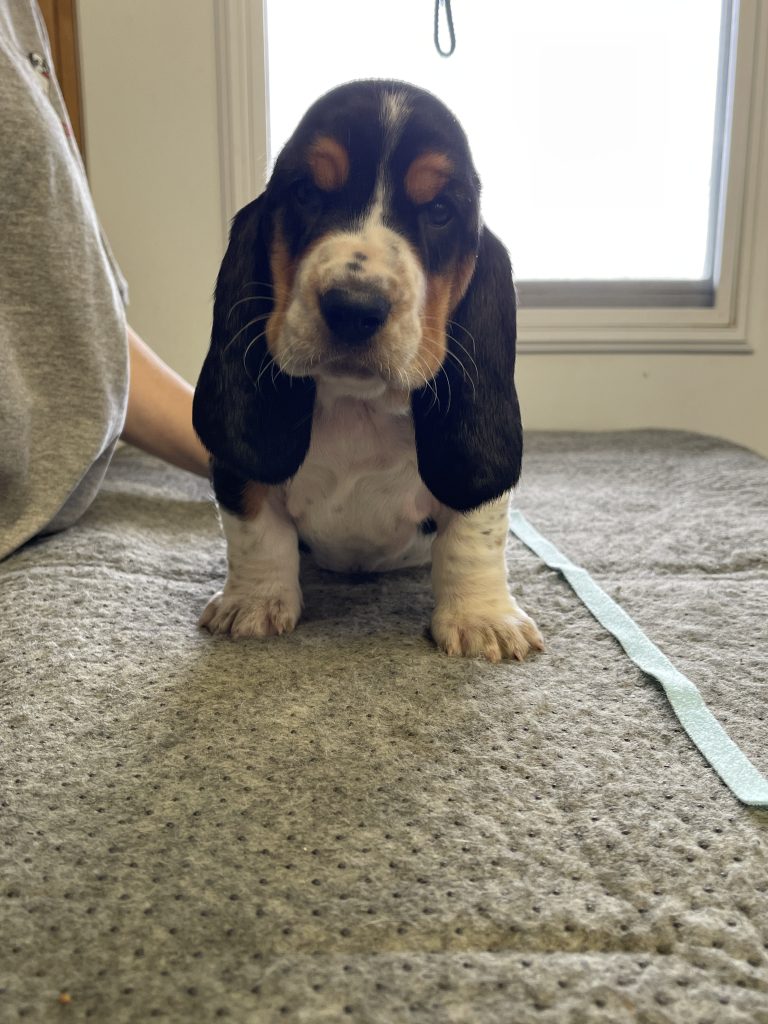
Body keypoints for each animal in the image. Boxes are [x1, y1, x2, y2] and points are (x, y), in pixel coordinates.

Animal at [193, 80, 543, 662]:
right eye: (306, 194)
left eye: (441, 210)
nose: (354, 309)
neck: (359, 405)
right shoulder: (242, 472)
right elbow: (255, 525)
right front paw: (254, 603)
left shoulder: (475, 497)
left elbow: (474, 535)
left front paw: (482, 618)